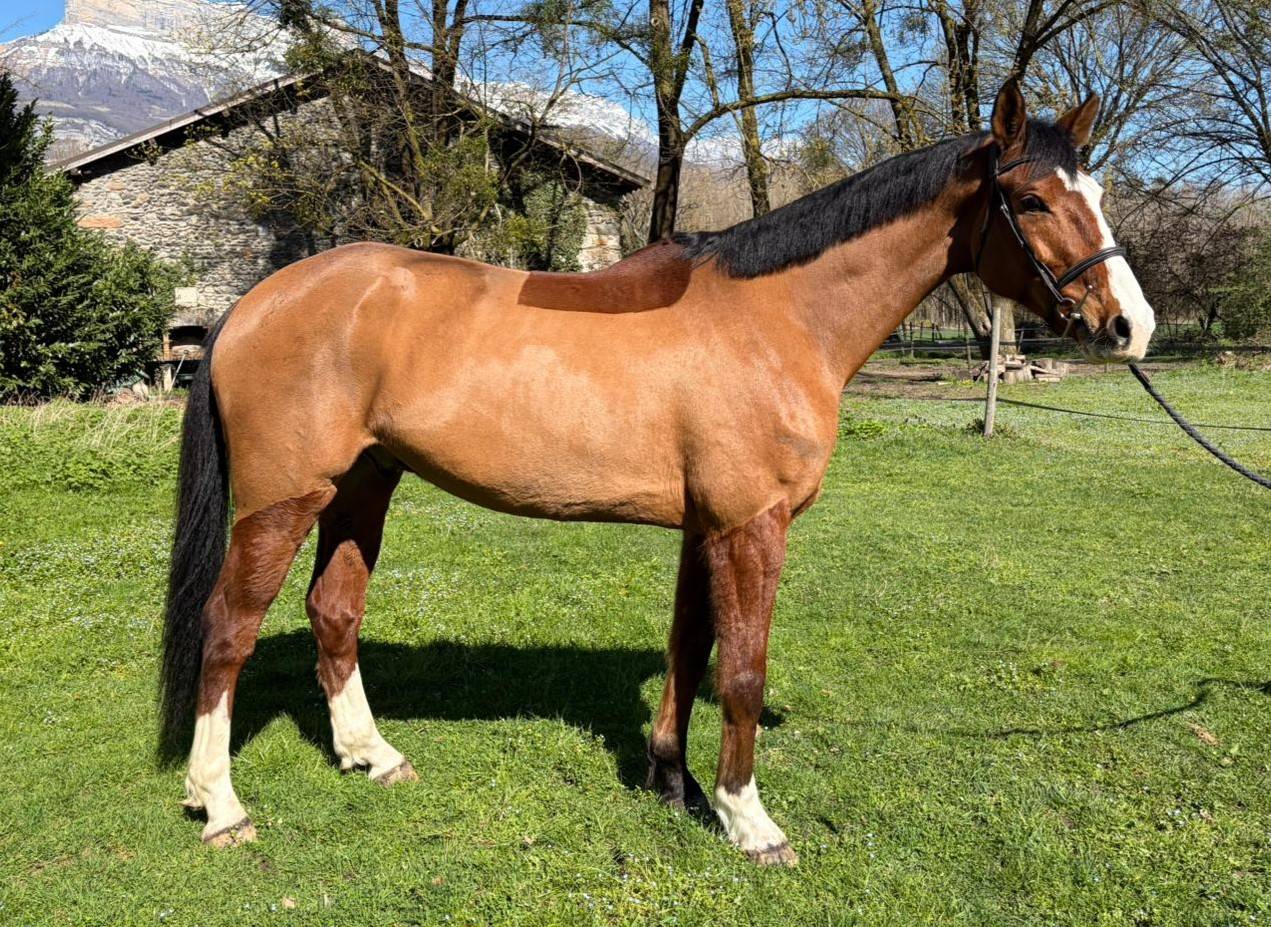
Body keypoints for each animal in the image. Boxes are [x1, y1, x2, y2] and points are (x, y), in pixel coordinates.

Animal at [160, 81, 1155, 865]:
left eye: (1096, 191)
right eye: (1029, 199)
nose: (1128, 326)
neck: (774, 317)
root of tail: (254, 302)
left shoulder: (705, 526)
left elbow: (690, 647)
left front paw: (671, 781)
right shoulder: (751, 525)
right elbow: (742, 667)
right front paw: (749, 820)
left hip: (364, 485)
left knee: (334, 611)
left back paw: (372, 755)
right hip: (283, 502)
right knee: (228, 628)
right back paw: (220, 805)